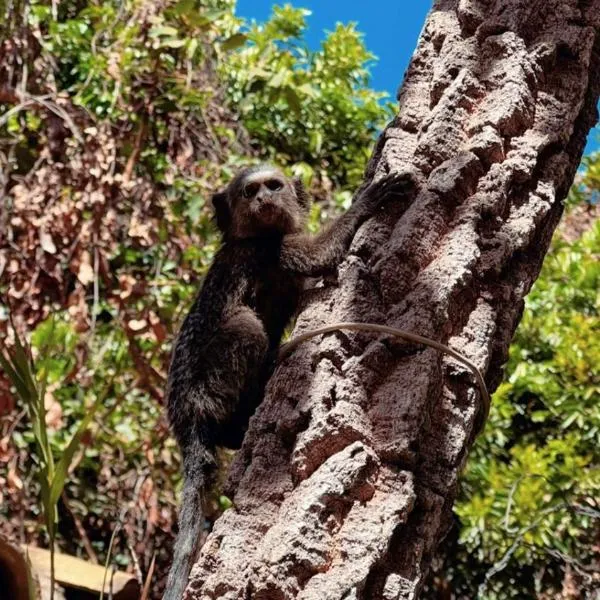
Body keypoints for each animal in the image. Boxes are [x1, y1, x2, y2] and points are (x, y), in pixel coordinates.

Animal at [164, 164, 418, 600]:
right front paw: (367, 199)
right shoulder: (271, 250)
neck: (255, 236)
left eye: (273, 186)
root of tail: (187, 418)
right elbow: (319, 255)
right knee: (246, 326)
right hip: (206, 382)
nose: (264, 199)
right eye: (249, 192)